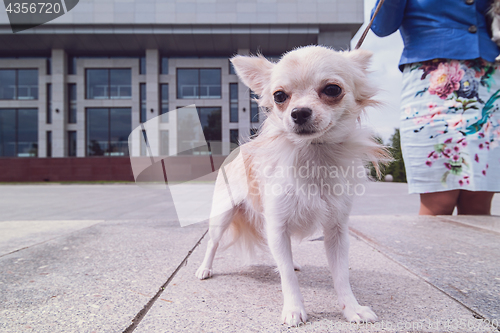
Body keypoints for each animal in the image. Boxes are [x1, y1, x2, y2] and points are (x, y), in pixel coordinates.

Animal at [195, 45, 386, 326]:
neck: (314, 155)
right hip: (222, 215)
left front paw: (352, 308)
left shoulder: (337, 230)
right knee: (213, 243)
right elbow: (287, 276)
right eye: (279, 96)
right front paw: (294, 309)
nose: (299, 112)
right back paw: (205, 268)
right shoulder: (278, 224)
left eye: (332, 90)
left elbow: (341, 275)